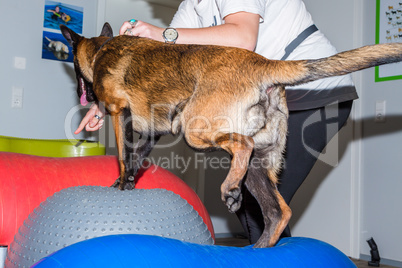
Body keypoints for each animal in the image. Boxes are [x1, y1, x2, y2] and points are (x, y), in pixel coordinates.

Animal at [59, 22, 402, 247]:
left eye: (73, 64)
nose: (82, 97)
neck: (103, 49)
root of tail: (264, 65)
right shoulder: (153, 132)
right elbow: (135, 160)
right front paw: (125, 185)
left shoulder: (119, 114)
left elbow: (121, 156)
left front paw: (119, 185)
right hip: (259, 165)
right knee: (277, 212)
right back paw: (258, 248)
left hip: (196, 130)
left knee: (242, 145)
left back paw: (229, 191)